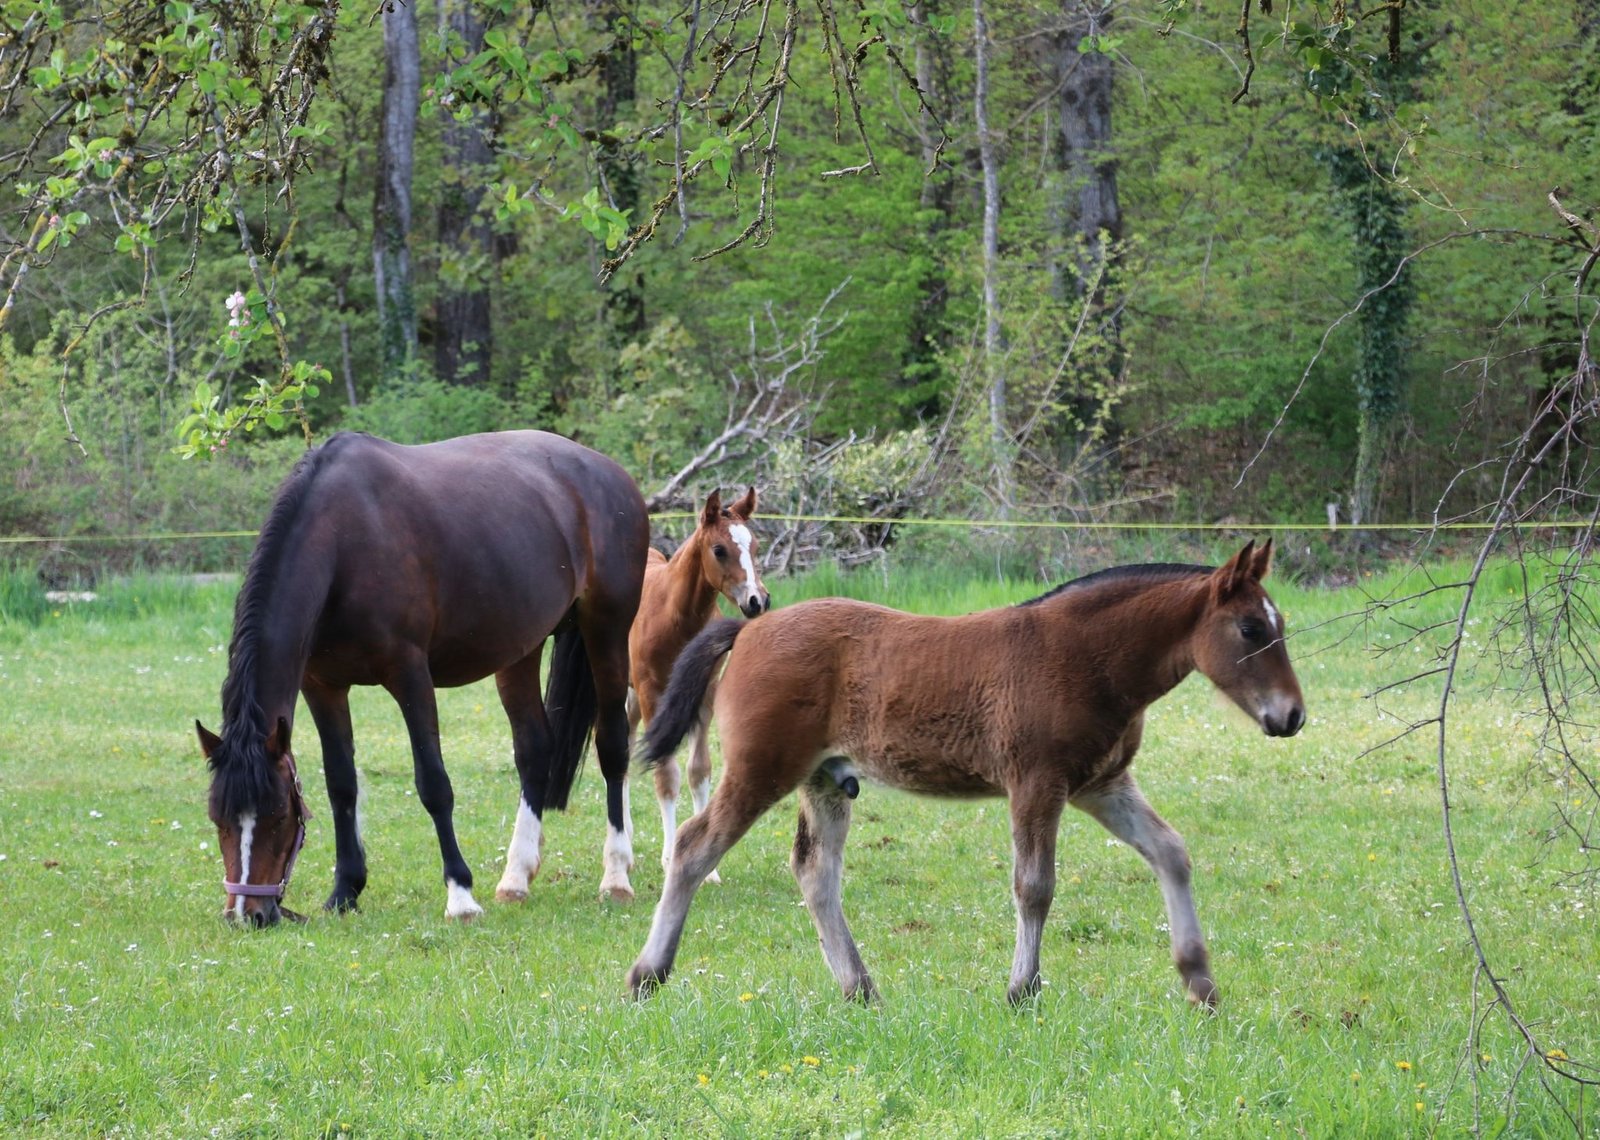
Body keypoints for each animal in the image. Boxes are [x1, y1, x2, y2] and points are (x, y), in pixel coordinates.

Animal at [196, 429, 651, 926]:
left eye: (279, 815)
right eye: (218, 818)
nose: (247, 914)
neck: (343, 542)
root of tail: (610, 472)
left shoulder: (410, 675)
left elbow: (433, 784)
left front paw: (460, 895)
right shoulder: (322, 686)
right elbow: (341, 785)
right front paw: (344, 891)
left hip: (606, 631)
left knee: (613, 747)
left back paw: (616, 876)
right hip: (519, 650)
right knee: (534, 752)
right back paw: (515, 879)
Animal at [626, 541, 1306, 1007]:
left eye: (1281, 626)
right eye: (1250, 628)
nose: (1292, 715)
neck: (1083, 657)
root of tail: (750, 628)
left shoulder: (1100, 786)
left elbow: (1171, 852)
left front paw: (1200, 982)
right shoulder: (1037, 783)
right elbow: (1035, 886)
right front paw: (1022, 990)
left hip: (823, 781)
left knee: (815, 873)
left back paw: (861, 989)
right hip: (761, 769)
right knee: (693, 846)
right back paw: (646, 975)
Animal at [627, 488, 770, 885]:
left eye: (755, 545)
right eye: (719, 549)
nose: (758, 601)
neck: (674, 616)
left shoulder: (704, 694)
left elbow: (699, 770)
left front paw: (709, 868)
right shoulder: (651, 693)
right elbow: (666, 775)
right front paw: (669, 856)